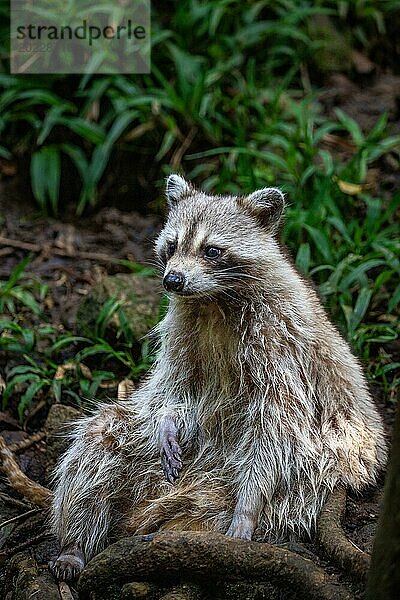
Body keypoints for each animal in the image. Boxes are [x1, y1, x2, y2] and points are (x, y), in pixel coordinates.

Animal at [48, 175, 386, 580]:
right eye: (172, 244)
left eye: (212, 250)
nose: (173, 280)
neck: (214, 299)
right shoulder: (181, 330)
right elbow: (173, 389)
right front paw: (168, 420)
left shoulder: (283, 345)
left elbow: (277, 424)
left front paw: (248, 506)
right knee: (101, 439)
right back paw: (76, 542)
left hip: (307, 477)